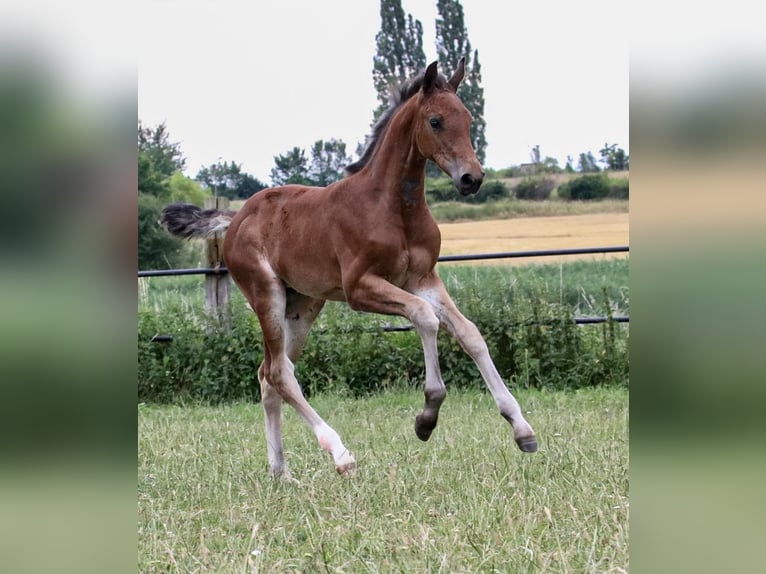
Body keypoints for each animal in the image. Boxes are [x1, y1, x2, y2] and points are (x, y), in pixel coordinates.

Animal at [159, 59, 536, 482]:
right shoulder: (360, 288)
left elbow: (470, 334)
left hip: (303, 304)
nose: (472, 178)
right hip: (266, 293)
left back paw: (281, 472)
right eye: (436, 121)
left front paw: (522, 428)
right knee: (280, 373)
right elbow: (424, 318)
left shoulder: (423, 279)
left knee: (269, 373)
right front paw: (427, 417)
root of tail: (236, 216)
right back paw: (340, 454)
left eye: (469, 119)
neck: (393, 207)